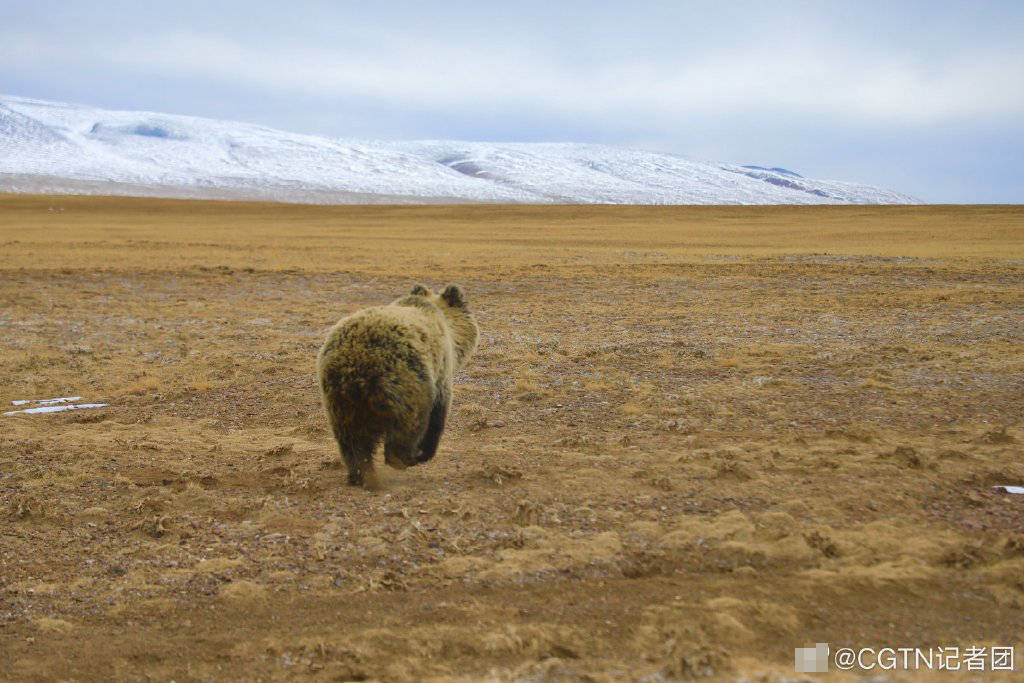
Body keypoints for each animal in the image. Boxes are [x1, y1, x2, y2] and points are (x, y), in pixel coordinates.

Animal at [315, 286, 479, 489]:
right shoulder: (440, 372)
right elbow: (437, 415)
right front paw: (426, 451)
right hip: (406, 382)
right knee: (408, 426)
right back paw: (405, 459)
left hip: (338, 398)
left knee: (351, 440)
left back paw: (360, 474)